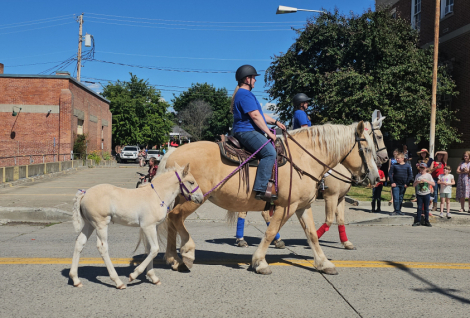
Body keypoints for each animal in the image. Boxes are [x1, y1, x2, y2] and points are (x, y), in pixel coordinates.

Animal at [69, 163, 202, 290]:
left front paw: (153, 277)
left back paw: (75, 280)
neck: (157, 195)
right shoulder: (148, 226)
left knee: (79, 242)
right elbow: (155, 249)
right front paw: (134, 275)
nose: (200, 198)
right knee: (102, 247)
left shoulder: (153, 227)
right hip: (101, 224)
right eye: (191, 182)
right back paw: (118, 282)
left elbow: (149, 249)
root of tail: (85, 193)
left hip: (89, 224)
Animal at [160, 121, 380, 276]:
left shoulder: (303, 206)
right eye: (367, 149)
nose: (377, 178)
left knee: (171, 221)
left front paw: (324, 263)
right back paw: (186, 252)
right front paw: (260, 262)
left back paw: (173, 259)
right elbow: (270, 231)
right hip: (193, 199)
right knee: (175, 217)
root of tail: (173, 152)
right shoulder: (287, 206)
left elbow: (312, 235)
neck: (304, 159)